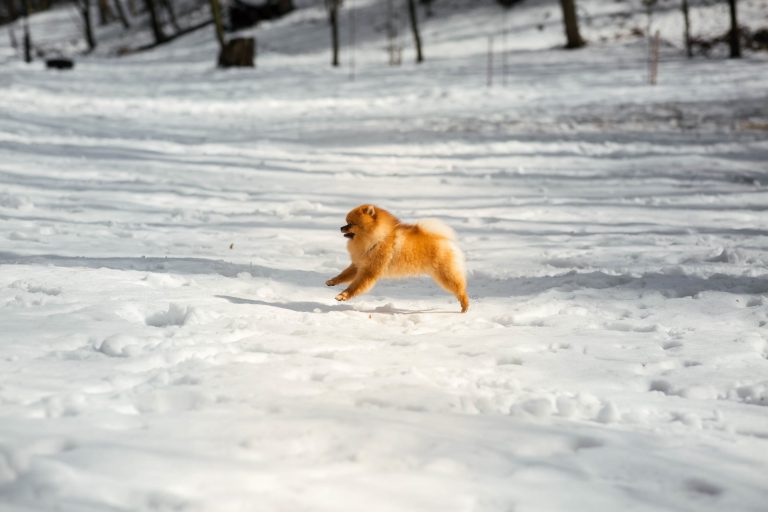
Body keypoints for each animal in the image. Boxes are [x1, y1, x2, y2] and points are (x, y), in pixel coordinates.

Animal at [324, 204, 468, 312]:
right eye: (346, 222)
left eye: (350, 223)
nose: (341, 227)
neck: (377, 239)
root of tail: (444, 239)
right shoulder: (359, 264)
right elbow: (344, 275)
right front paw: (332, 281)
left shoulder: (369, 271)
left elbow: (355, 286)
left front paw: (343, 295)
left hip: (445, 274)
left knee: (460, 289)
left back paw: (465, 306)